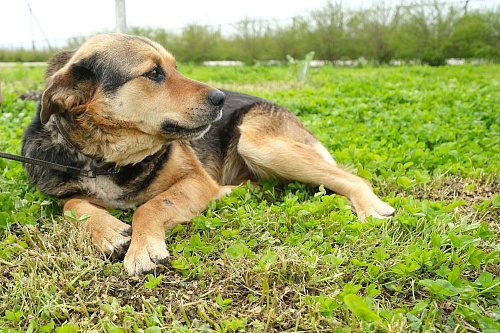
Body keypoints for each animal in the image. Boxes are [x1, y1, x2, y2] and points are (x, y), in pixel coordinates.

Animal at [21, 33, 394, 274]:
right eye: (153, 72)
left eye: (174, 66)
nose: (221, 98)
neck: (108, 161)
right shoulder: (66, 188)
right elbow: (71, 204)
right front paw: (110, 231)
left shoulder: (196, 178)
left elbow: (152, 205)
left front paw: (143, 247)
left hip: (255, 142)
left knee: (353, 178)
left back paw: (371, 209)